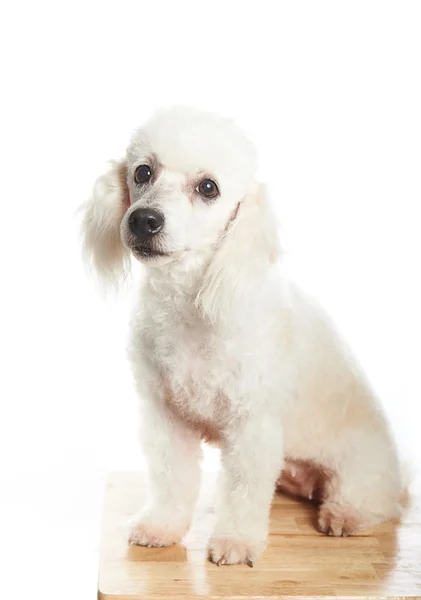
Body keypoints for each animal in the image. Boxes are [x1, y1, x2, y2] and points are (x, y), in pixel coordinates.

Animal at [79, 105, 404, 564]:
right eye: (143, 172)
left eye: (208, 187)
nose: (144, 220)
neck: (191, 303)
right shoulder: (165, 416)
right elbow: (171, 478)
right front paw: (162, 525)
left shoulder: (251, 424)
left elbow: (243, 491)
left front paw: (234, 542)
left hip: (360, 468)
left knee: (376, 501)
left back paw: (345, 515)